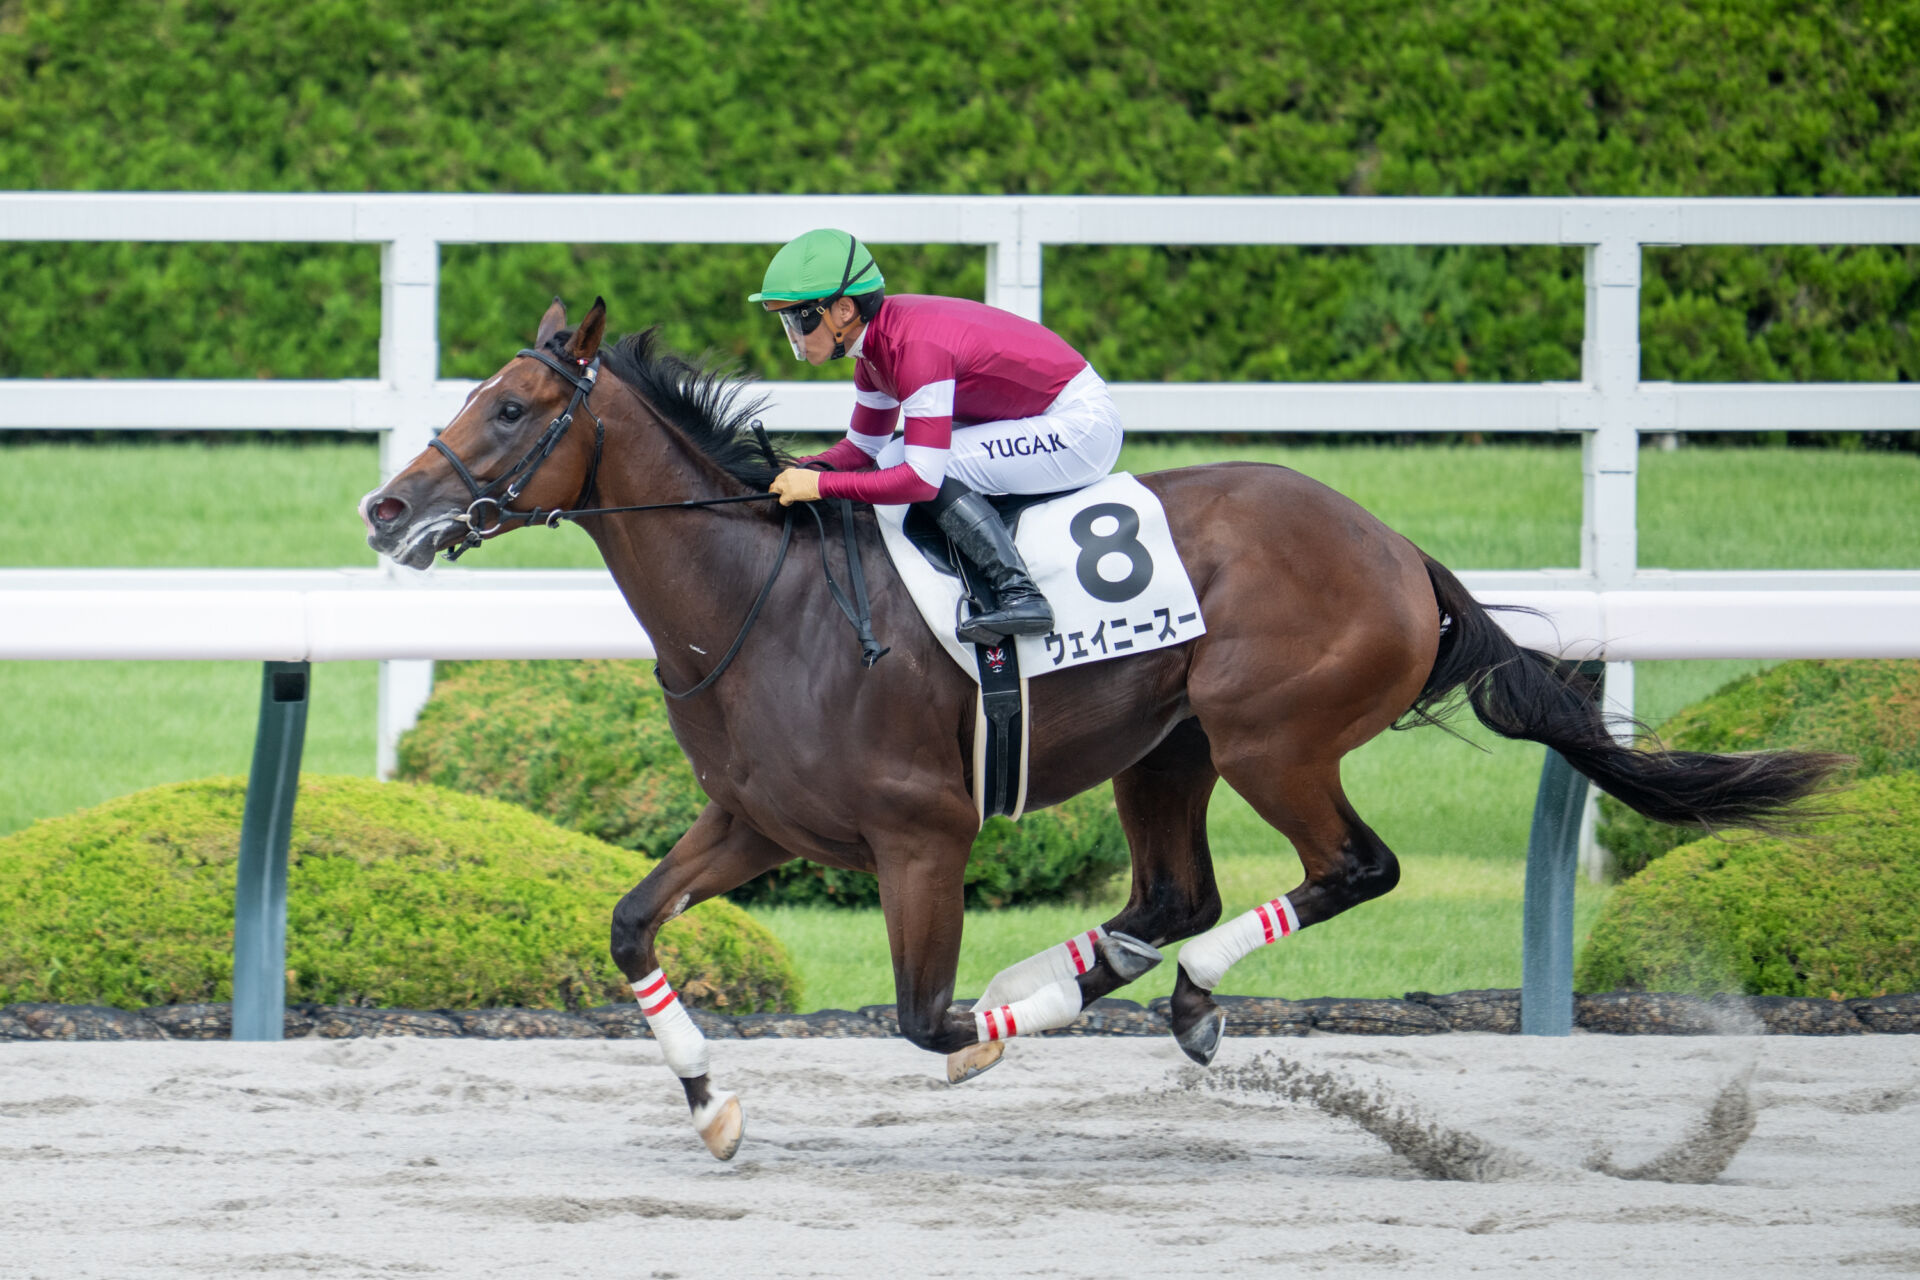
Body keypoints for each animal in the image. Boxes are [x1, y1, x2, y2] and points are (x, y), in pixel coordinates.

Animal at [362, 298, 1843, 1161]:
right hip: (1168, 746)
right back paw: (1093, 974)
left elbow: (926, 1018)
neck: (764, 602)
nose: (385, 509)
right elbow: (631, 926)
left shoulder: (923, 835)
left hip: (1270, 734)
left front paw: (994, 1026)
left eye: (509, 407)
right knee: (1176, 890)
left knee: (1348, 868)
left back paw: (1173, 999)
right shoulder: (756, 822)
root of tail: (1400, 548)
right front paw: (712, 1103)